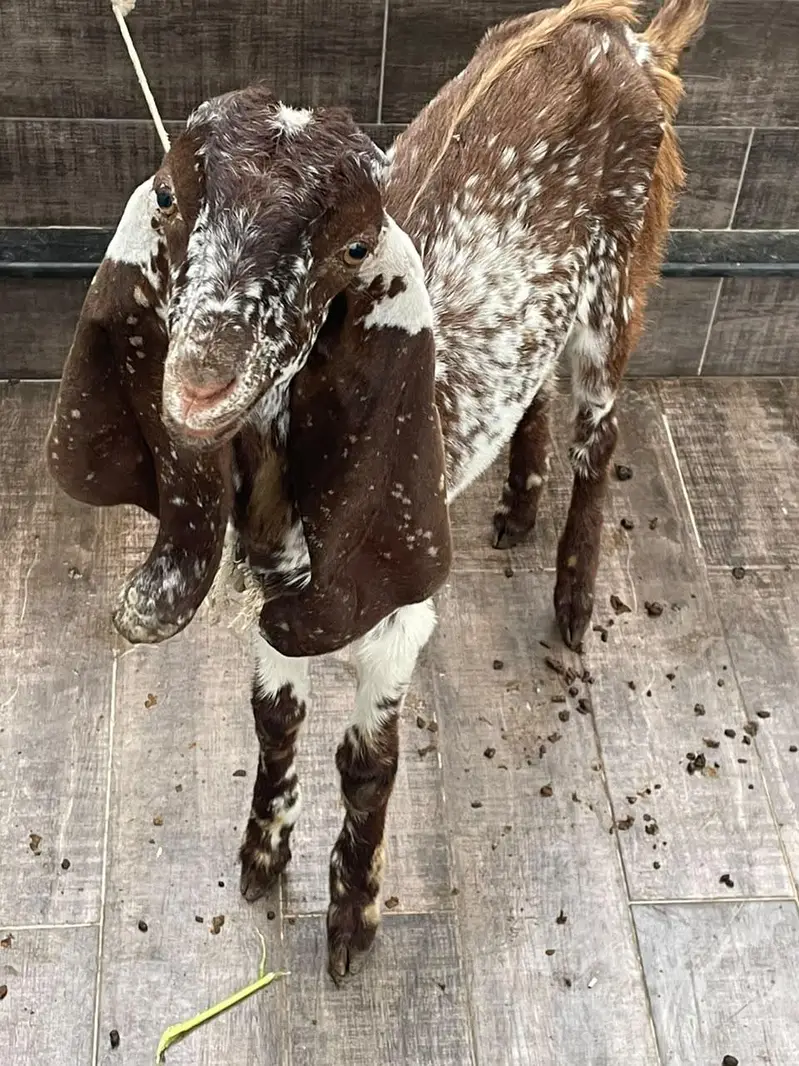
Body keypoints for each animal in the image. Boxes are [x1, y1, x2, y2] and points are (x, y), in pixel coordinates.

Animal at [47, 0, 708, 979]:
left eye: (353, 247)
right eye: (167, 197)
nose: (203, 376)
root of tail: (618, 34)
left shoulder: (395, 615)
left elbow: (369, 763)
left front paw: (352, 918)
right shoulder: (277, 602)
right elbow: (274, 719)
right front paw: (261, 857)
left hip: (619, 283)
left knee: (600, 431)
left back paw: (573, 599)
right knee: (534, 386)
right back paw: (515, 507)